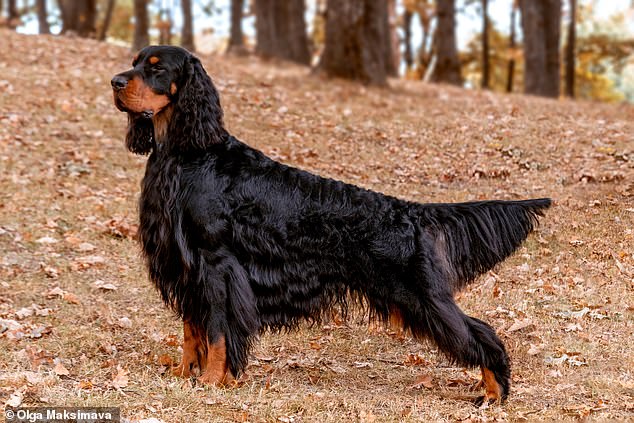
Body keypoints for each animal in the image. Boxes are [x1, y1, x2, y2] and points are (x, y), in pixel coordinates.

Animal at [111, 44, 544, 406]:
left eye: (156, 68)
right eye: (135, 61)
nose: (115, 82)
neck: (187, 152)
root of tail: (410, 212)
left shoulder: (216, 264)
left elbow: (216, 330)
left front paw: (212, 381)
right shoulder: (185, 265)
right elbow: (191, 330)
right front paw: (183, 373)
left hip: (421, 295)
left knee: (480, 333)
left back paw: (495, 392)